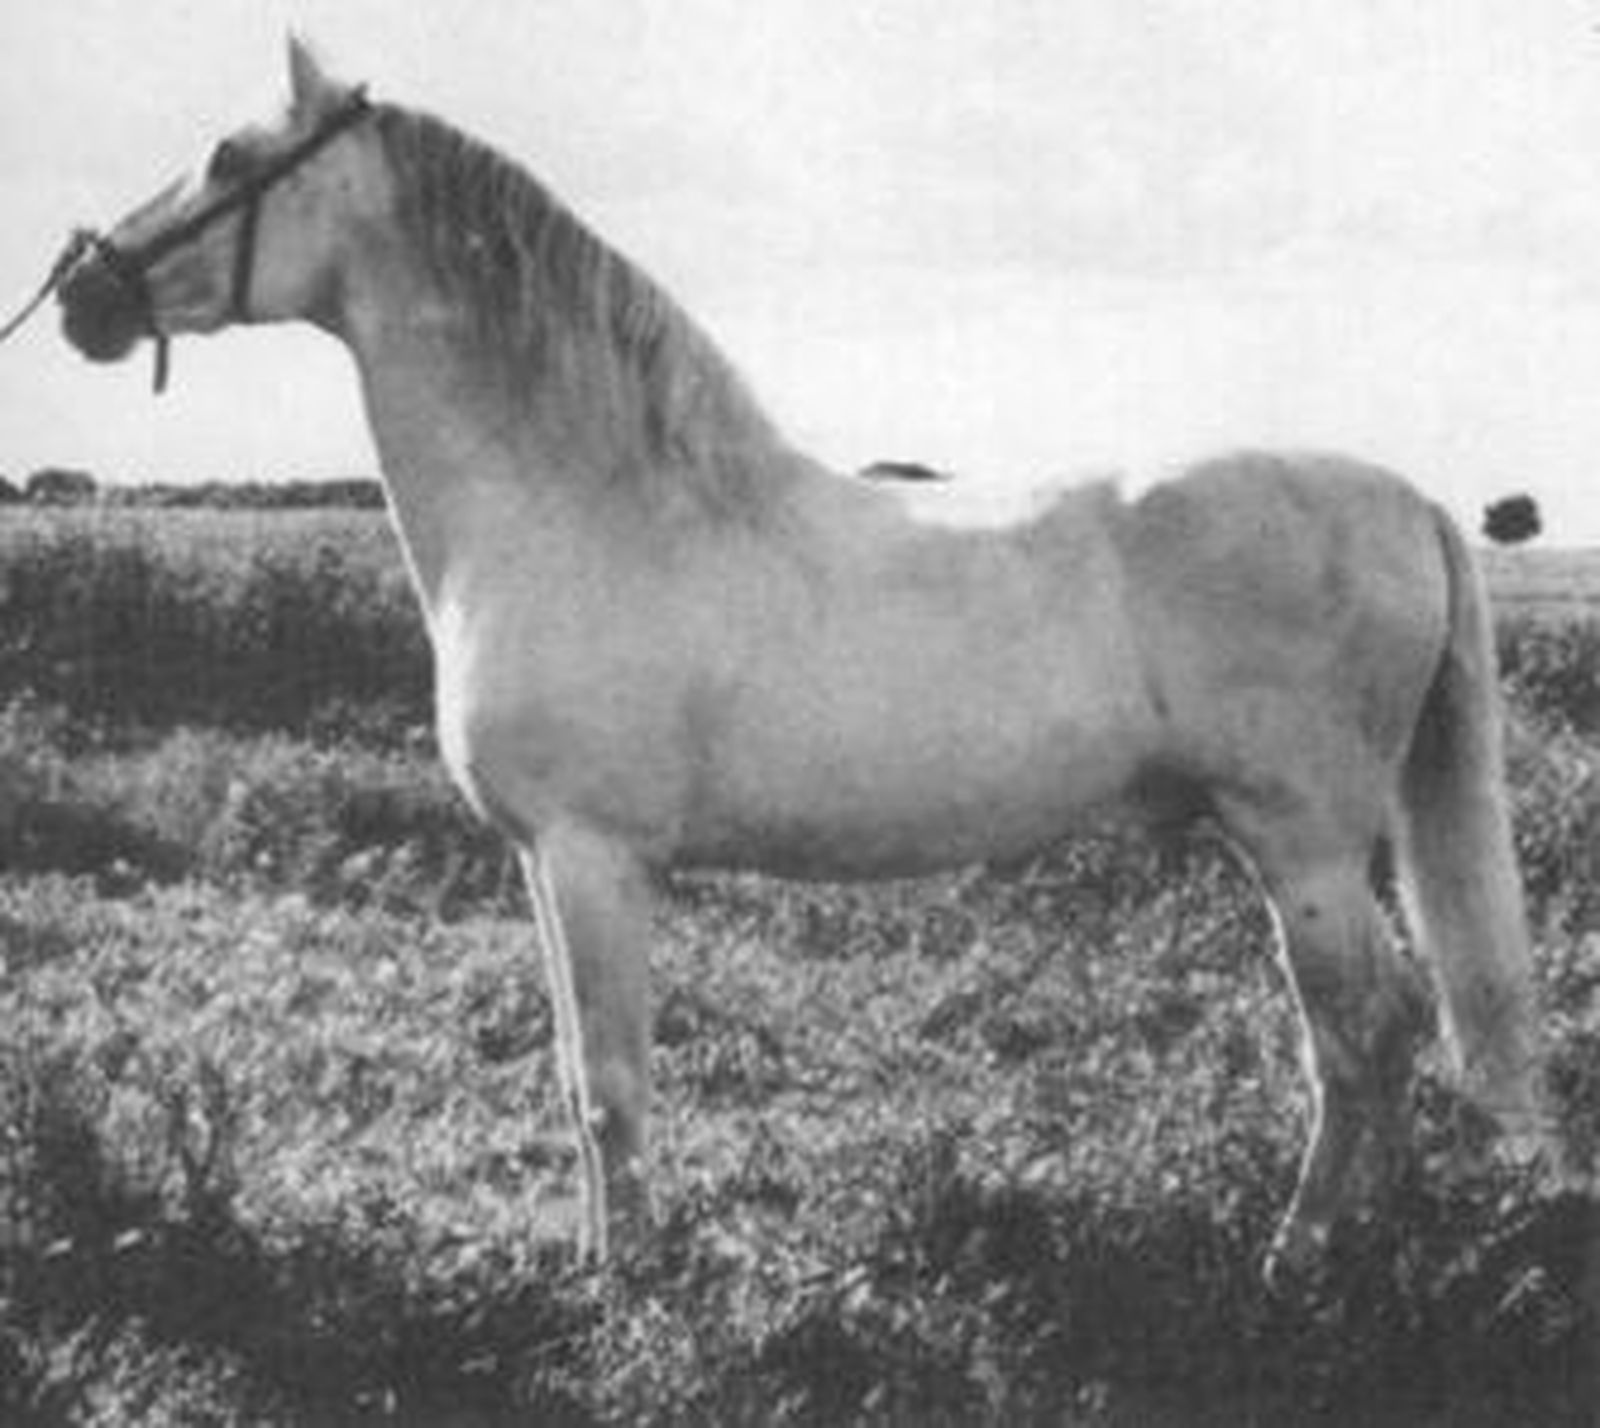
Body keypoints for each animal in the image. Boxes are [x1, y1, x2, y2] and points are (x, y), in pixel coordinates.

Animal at [51, 38, 1553, 1278]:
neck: (584, 503)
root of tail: (1409, 497)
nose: (81, 295)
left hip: (1301, 843)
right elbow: (576, 1071)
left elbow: (613, 1082)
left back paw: (1302, 1256)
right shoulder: (543, 861)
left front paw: (628, 1287)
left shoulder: (595, 856)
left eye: (230, 157)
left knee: (1362, 1033)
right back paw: (1370, 1241)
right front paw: (590, 1257)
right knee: (1391, 1033)